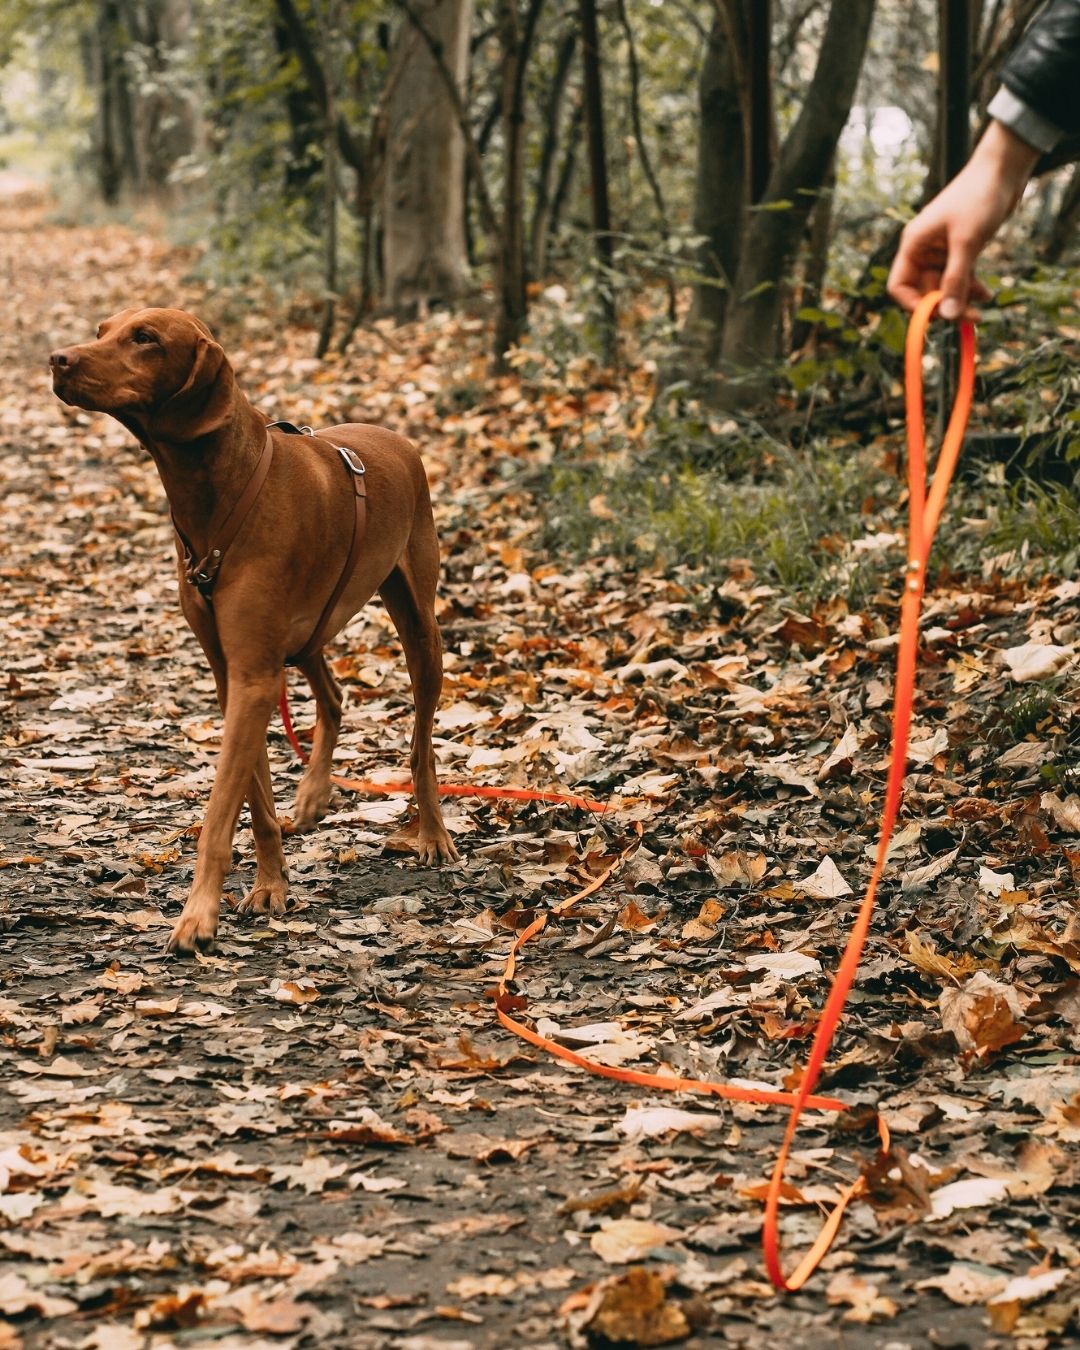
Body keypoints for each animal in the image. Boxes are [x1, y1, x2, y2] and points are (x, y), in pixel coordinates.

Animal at [51, 310, 456, 955]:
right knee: (332, 693)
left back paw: (433, 834)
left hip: (420, 629)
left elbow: (219, 813)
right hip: (306, 633)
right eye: (101, 329)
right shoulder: (236, 675)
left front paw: (196, 917)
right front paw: (270, 885)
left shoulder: (253, 676)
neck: (220, 490)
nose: (58, 360)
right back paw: (313, 794)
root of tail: (395, 436)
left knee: (420, 745)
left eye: (145, 338)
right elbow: (256, 799)